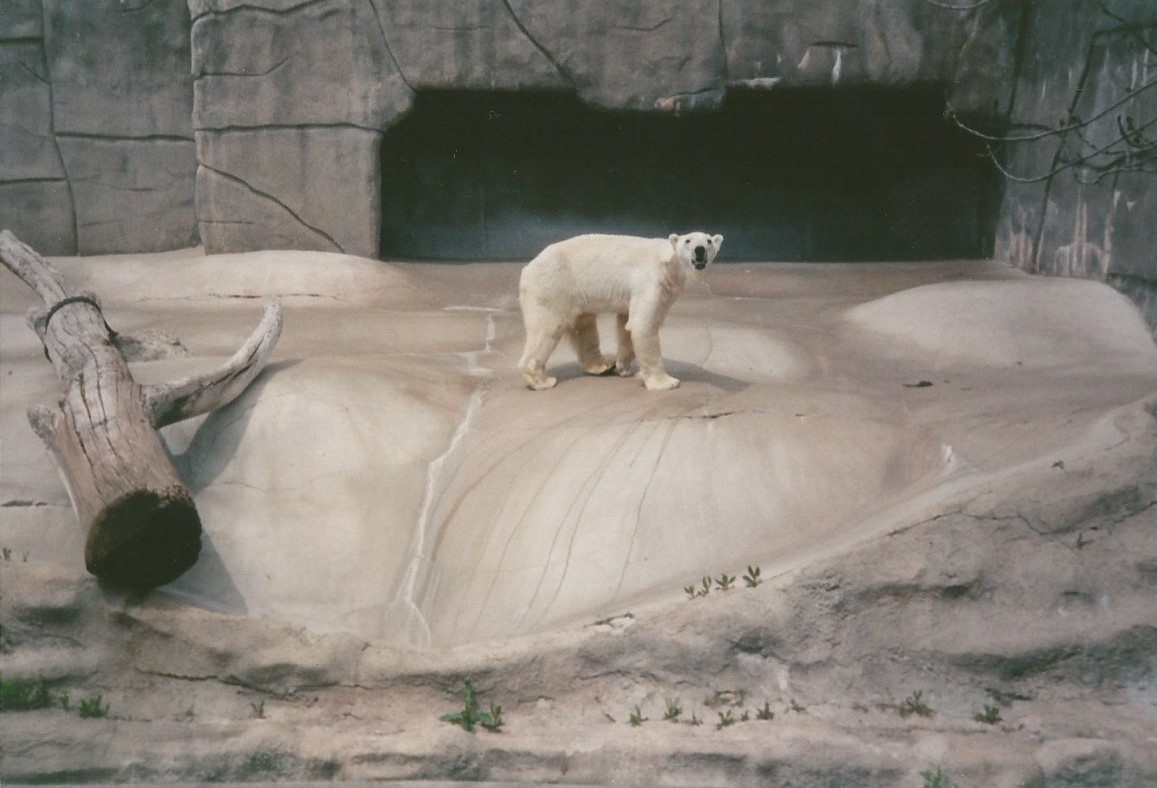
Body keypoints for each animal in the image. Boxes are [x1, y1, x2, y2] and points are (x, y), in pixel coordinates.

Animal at [517, 231, 723, 391]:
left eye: (708, 240)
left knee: (583, 324)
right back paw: (543, 380)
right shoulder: (651, 280)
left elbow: (626, 323)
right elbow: (643, 324)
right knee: (548, 329)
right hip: (553, 287)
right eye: (688, 240)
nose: (699, 249)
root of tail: (527, 267)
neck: (668, 264)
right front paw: (666, 382)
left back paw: (602, 365)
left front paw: (623, 366)